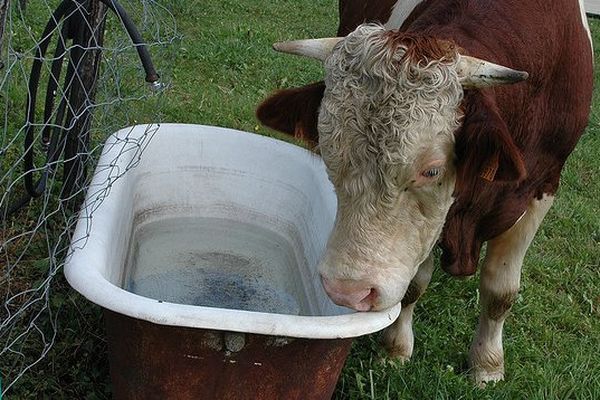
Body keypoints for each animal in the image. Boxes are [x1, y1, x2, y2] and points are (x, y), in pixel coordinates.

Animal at [255, 0, 592, 388]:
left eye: (431, 170)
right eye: (328, 153)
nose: (347, 291)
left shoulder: (543, 186)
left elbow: (501, 290)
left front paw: (487, 366)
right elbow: (415, 284)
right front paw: (396, 349)